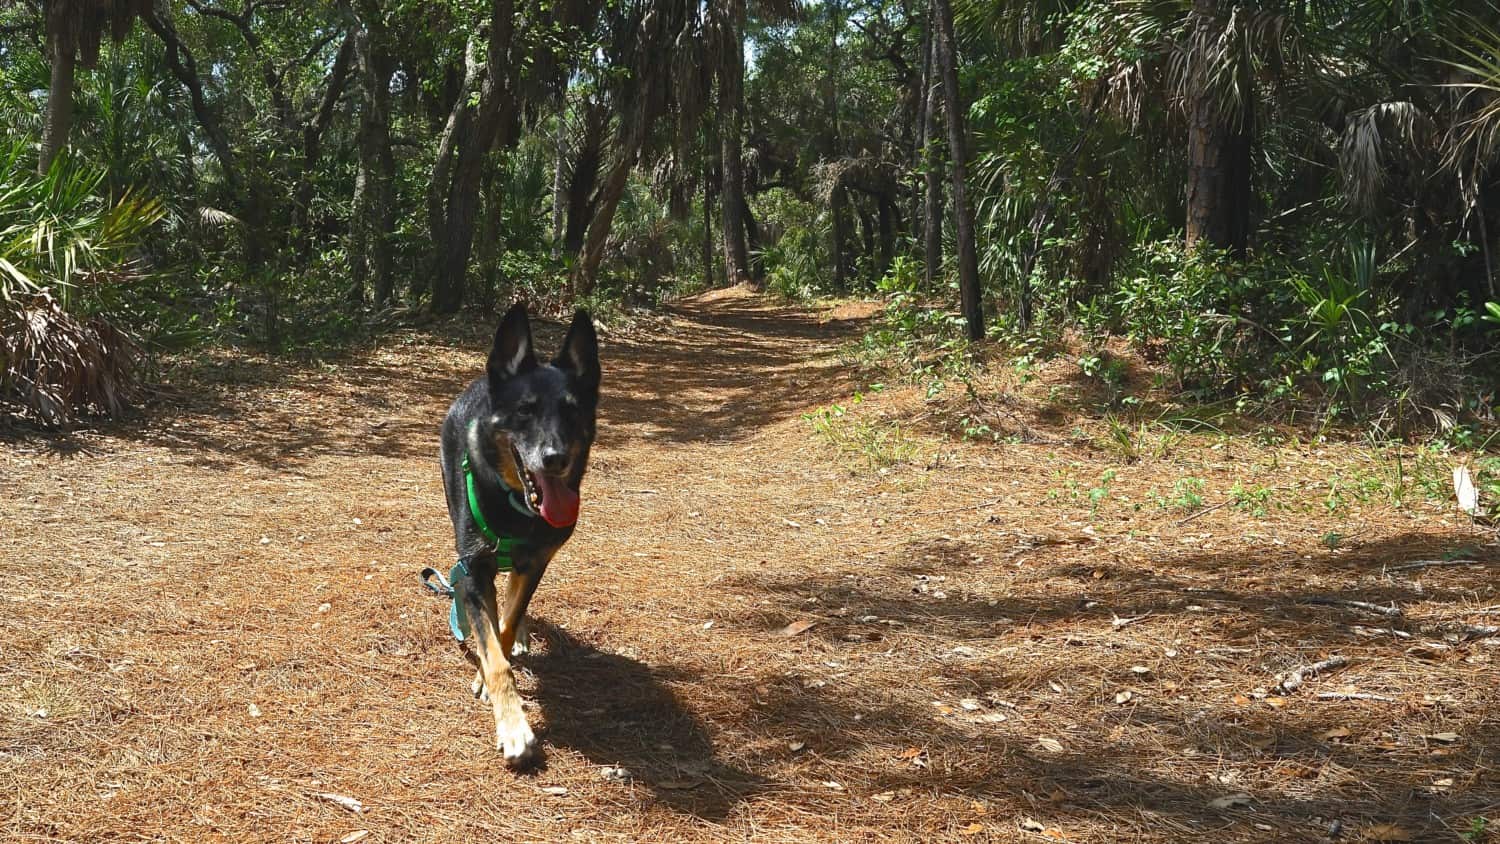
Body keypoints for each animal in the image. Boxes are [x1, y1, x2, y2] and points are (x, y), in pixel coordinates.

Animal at [435, 304, 597, 767]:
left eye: (572, 411)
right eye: (525, 410)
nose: (555, 458)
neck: (515, 508)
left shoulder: (536, 560)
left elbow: (505, 627)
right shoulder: (472, 572)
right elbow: (492, 651)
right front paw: (512, 726)